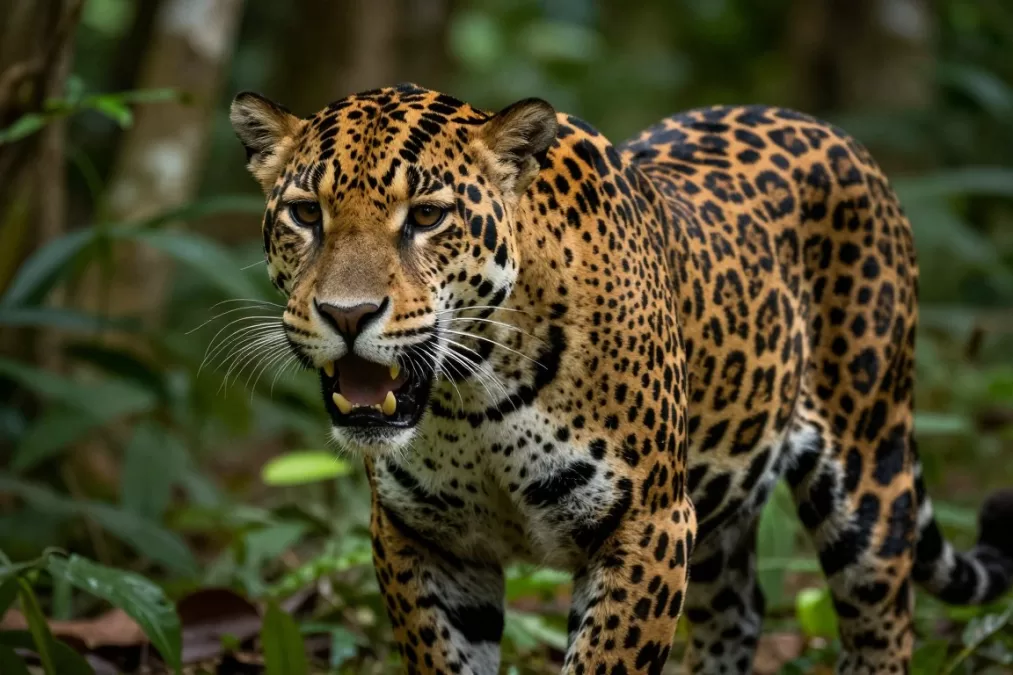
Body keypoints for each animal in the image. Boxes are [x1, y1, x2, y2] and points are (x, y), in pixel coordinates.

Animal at [229, 82, 1013, 674]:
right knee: (737, 611)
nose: (347, 313)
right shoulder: (419, 538)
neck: (470, 396)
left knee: (882, 621)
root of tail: (821, 125)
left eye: (425, 217)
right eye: (305, 213)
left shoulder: (648, 525)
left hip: (867, 471)